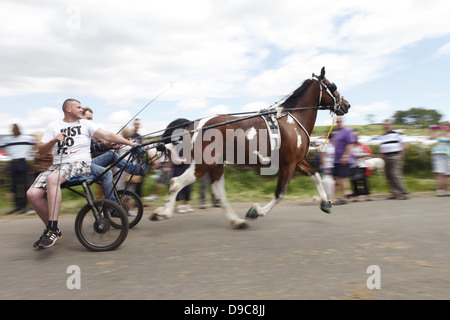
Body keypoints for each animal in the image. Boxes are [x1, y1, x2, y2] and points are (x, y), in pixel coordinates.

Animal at [151, 67, 352, 228]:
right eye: (332, 86)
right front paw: (257, 211)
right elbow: (280, 193)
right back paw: (162, 212)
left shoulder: (298, 161)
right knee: (175, 183)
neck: (292, 121)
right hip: (202, 165)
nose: (346, 104)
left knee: (218, 193)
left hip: (215, 165)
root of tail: (193, 124)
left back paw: (236, 221)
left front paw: (325, 202)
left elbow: (316, 175)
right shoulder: (288, 164)